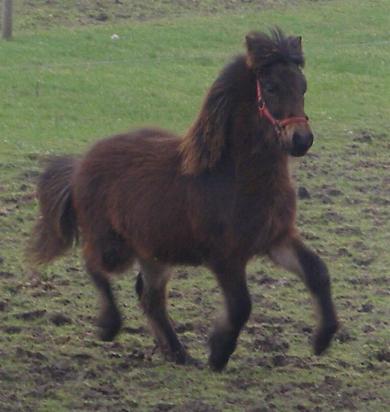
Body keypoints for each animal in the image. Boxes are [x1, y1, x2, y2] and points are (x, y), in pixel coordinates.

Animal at [28, 29, 338, 370]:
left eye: (303, 86)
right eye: (270, 87)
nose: (301, 140)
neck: (236, 177)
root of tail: (81, 165)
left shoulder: (277, 239)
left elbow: (317, 272)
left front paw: (322, 340)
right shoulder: (225, 256)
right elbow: (241, 305)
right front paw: (218, 351)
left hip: (154, 253)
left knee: (150, 296)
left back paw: (178, 353)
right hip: (113, 246)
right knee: (93, 262)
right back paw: (109, 326)